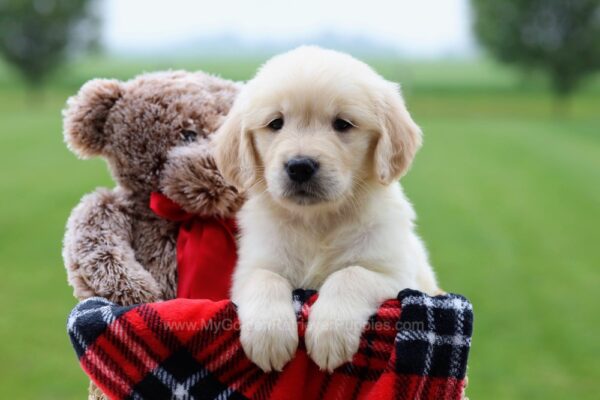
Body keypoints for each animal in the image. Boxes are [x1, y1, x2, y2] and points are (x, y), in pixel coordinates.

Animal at [213, 46, 438, 372]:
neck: (317, 222)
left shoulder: (397, 276)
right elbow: (265, 278)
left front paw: (329, 333)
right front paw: (269, 335)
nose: (300, 166)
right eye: (275, 123)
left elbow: (350, 274)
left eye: (342, 124)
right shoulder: (250, 267)